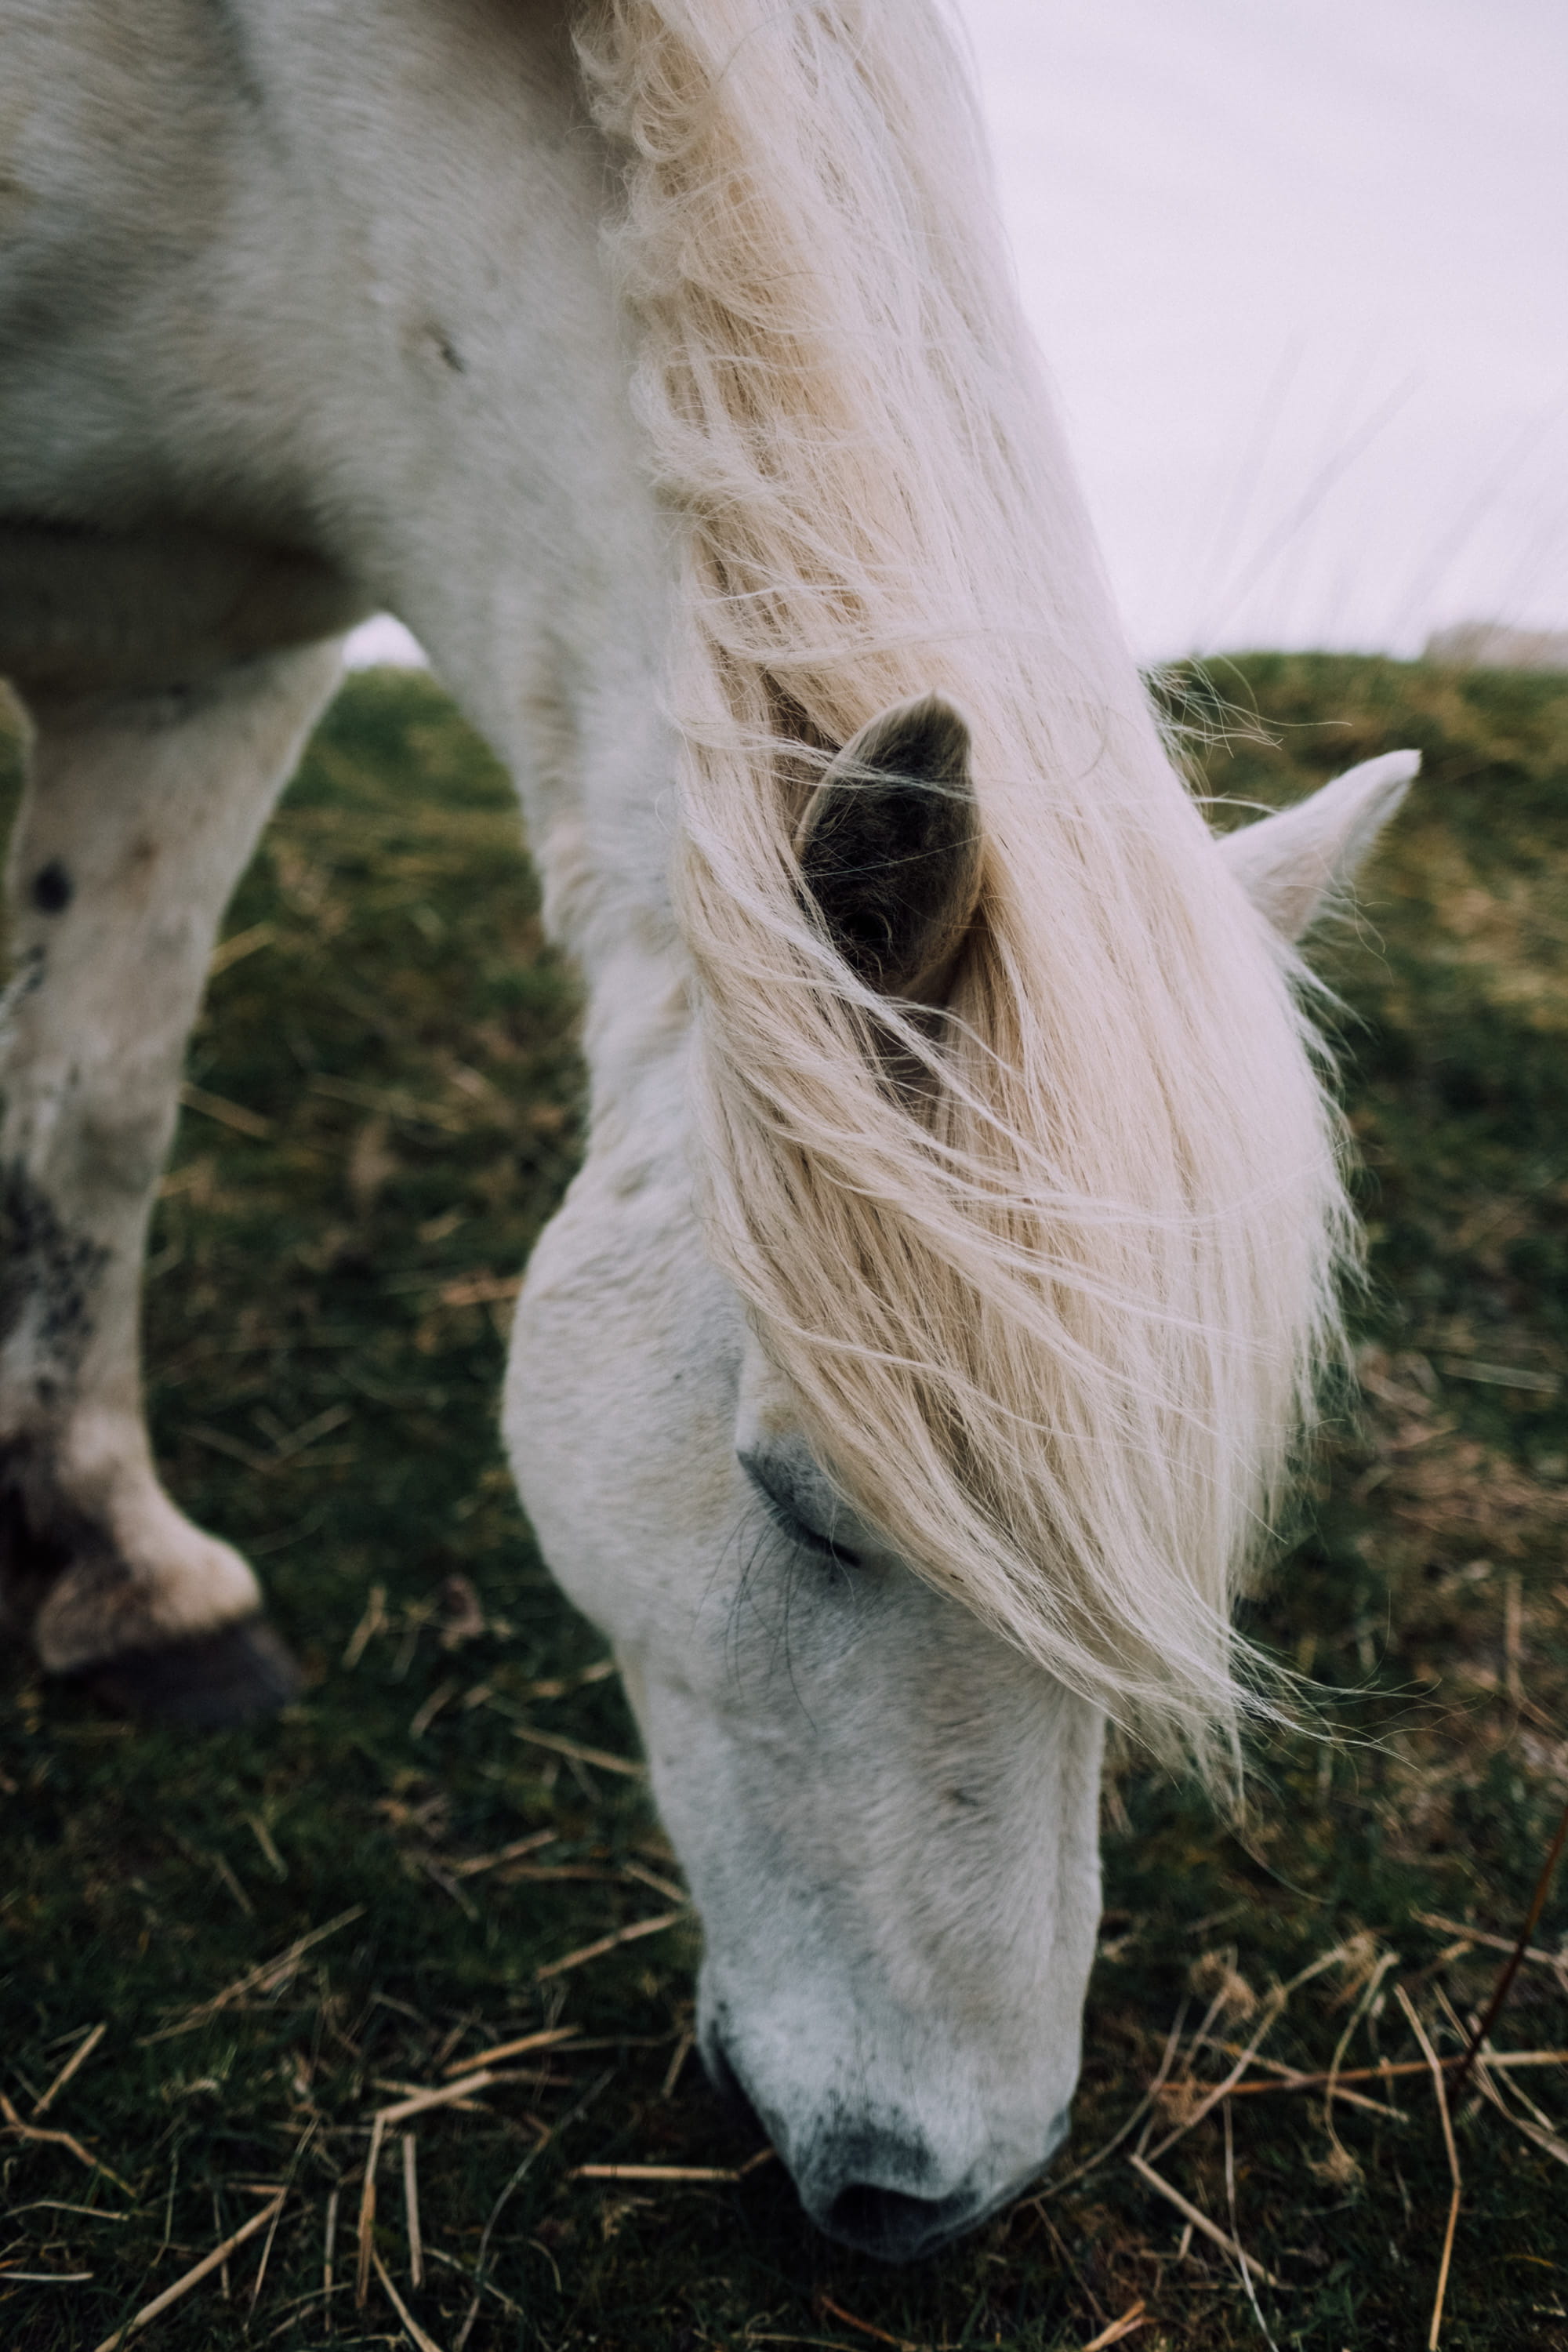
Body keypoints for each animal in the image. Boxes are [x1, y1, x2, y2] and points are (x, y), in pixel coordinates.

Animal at [0, 0, 1414, 2259]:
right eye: (808, 1507)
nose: (940, 2194)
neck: (251, 127)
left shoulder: (214, 667)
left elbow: (98, 1096)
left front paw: (121, 1574)